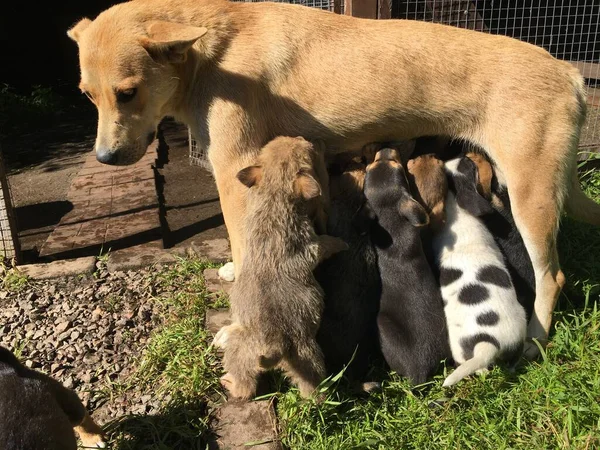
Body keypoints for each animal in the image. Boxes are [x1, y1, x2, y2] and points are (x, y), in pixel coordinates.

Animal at [68, 0, 596, 358]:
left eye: (128, 92)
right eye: (87, 95)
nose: (105, 158)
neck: (210, 54)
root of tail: (568, 70)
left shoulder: (234, 173)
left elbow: (243, 243)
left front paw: (236, 323)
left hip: (531, 197)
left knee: (552, 276)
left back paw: (535, 341)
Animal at [214, 135, 346, 400]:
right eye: (306, 150)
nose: (301, 136)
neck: (274, 194)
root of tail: (273, 345)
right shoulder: (310, 246)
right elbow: (328, 243)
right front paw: (343, 243)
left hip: (245, 352)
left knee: (246, 385)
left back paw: (232, 384)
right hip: (306, 354)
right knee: (311, 389)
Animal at [426, 156, 528, 386]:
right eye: (469, 166)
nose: (464, 156)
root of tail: (486, 342)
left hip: (462, 351)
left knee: (477, 367)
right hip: (520, 323)